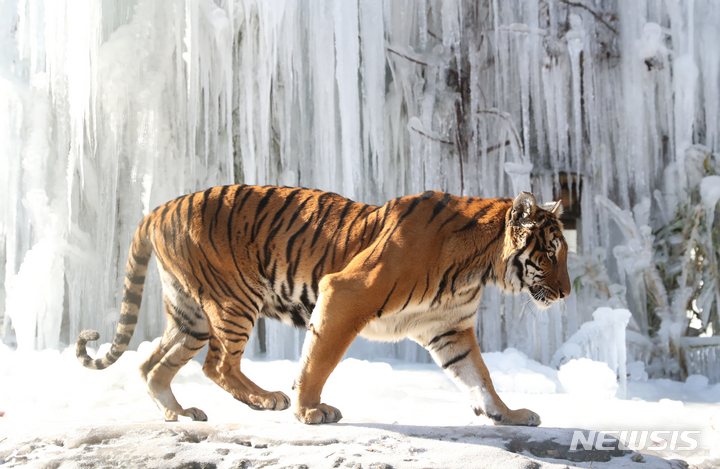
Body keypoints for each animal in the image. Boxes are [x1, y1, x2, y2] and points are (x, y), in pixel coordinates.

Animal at [76, 185, 572, 426]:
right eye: (549, 254)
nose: (568, 293)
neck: (479, 266)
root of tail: (155, 210)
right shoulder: (346, 293)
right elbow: (319, 360)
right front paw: (309, 410)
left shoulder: (449, 329)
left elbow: (480, 379)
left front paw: (508, 414)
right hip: (233, 300)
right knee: (217, 365)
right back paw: (267, 399)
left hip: (191, 316)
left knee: (152, 365)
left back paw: (179, 414)